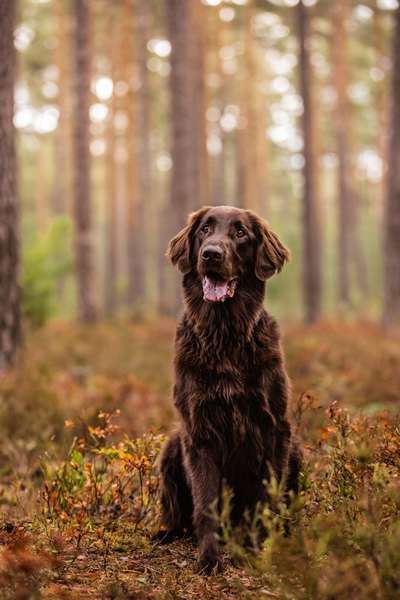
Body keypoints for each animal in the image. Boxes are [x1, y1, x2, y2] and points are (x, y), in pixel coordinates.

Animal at [158, 205, 302, 572]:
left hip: (297, 449)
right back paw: (166, 533)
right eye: (205, 230)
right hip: (171, 446)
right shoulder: (200, 430)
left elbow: (266, 498)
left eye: (240, 234)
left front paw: (260, 549)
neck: (225, 335)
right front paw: (209, 558)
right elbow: (206, 504)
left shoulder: (273, 427)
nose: (211, 253)